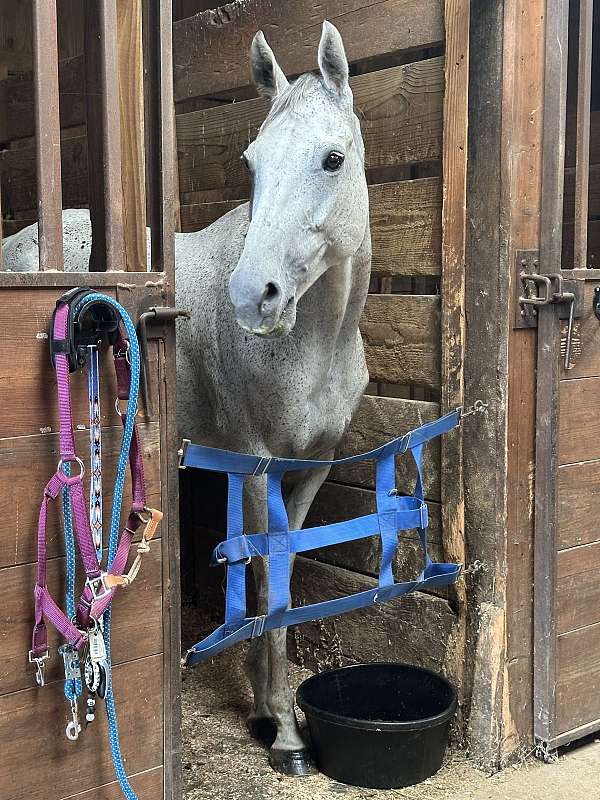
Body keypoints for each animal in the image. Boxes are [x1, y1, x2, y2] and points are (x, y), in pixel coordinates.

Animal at [2, 21, 371, 777]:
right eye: (253, 162)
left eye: (332, 158)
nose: (252, 297)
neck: (317, 343)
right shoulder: (256, 465)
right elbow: (264, 575)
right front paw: (282, 733)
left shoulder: (310, 470)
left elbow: (280, 577)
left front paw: (268, 707)